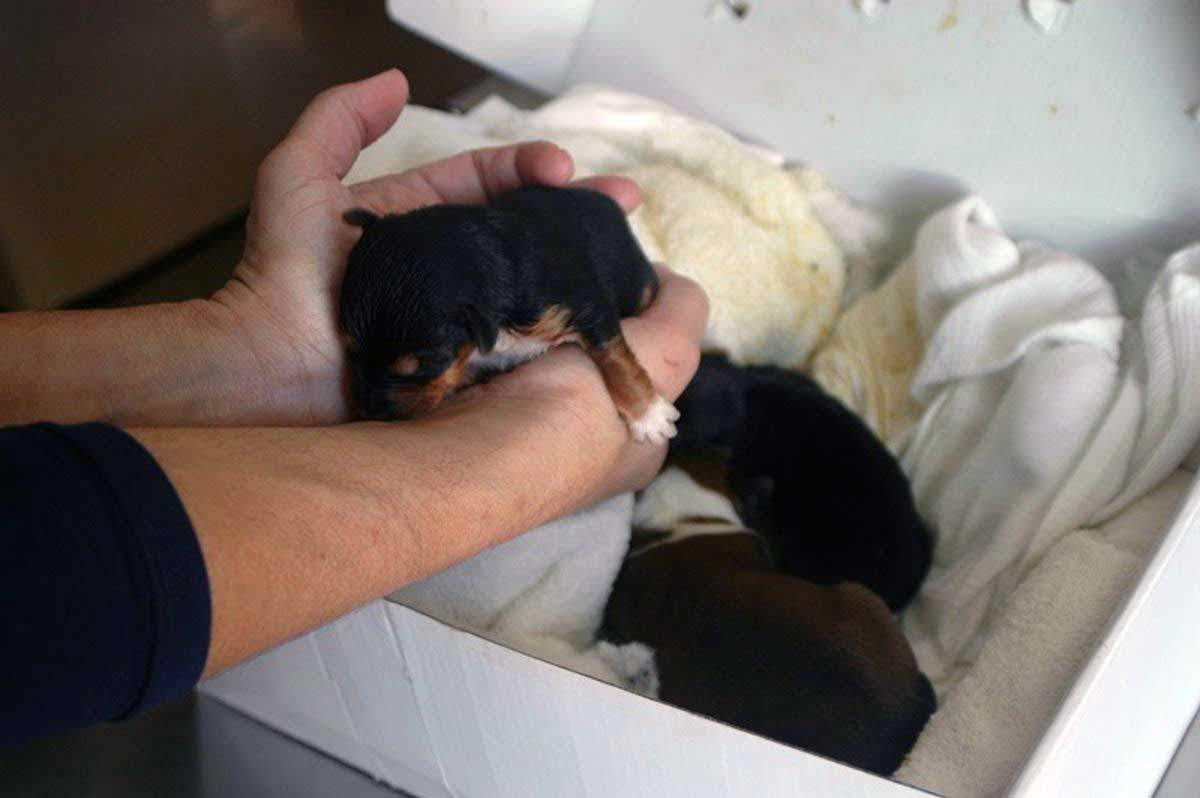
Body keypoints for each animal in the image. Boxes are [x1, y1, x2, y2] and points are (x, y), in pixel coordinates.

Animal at [338, 183, 681, 441]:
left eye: (417, 366)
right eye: (350, 352)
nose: (369, 412)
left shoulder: (583, 304)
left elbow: (614, 357)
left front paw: (649, 417)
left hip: (638, 285)